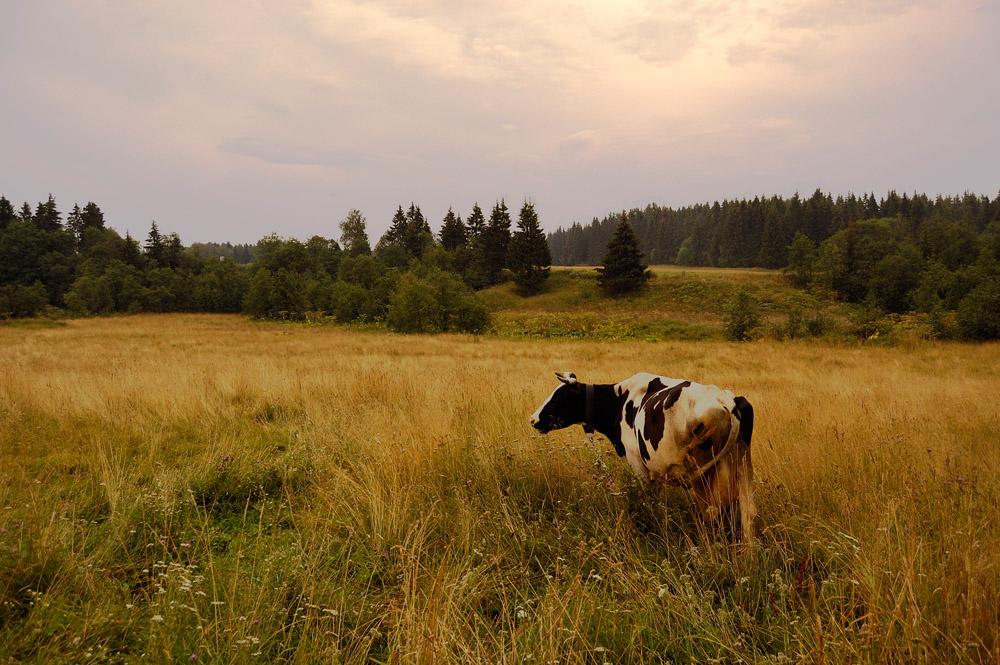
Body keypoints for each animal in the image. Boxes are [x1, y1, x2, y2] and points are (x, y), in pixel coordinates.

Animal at [528, 370, 752, 544]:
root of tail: (725, 400)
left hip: (704, 475)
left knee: (714, 512)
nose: (533, 419)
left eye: (559, 397)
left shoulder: (638, 463)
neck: (620, 401)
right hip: (737, 465)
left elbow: (648, 501)